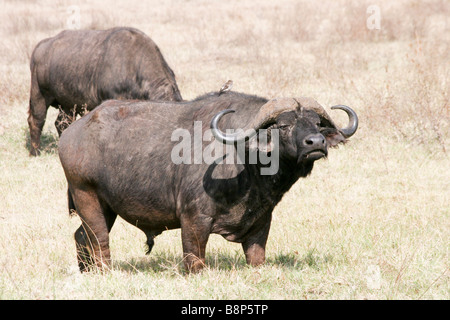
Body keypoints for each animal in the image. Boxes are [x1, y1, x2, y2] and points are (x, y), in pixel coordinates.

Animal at [27, 25, 181, 156]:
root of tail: (40, 47)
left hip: (68, 104)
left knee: (62, 123)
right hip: (39, 95)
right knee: (36, 120)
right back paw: (35, 152)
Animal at [58, 90, 358, 272]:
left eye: (317, 124)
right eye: (283, 125)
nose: (316, 143)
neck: (243, 160)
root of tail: (72, 132)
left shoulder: (261, 221)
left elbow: (257, 255)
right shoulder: (194, 221)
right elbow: (195, 259)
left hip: (105, 207)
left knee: (81, 236)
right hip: (86, 196)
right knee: (99, 240)